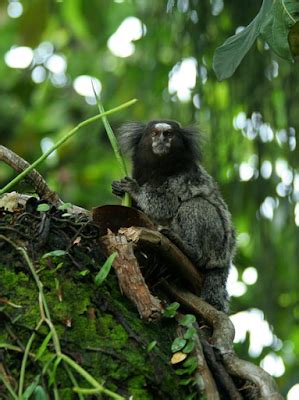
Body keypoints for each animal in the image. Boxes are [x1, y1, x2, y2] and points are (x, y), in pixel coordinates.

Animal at [113, 119, 237, 312]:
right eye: (155, 134)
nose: (162, 141)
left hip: (217, 246)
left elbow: (167, 204)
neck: (159, 168)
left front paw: (135, 190)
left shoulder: (183, 177)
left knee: (194, 205)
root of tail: (225, 260)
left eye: (169, 134)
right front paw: (120, 191)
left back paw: (189, 249)